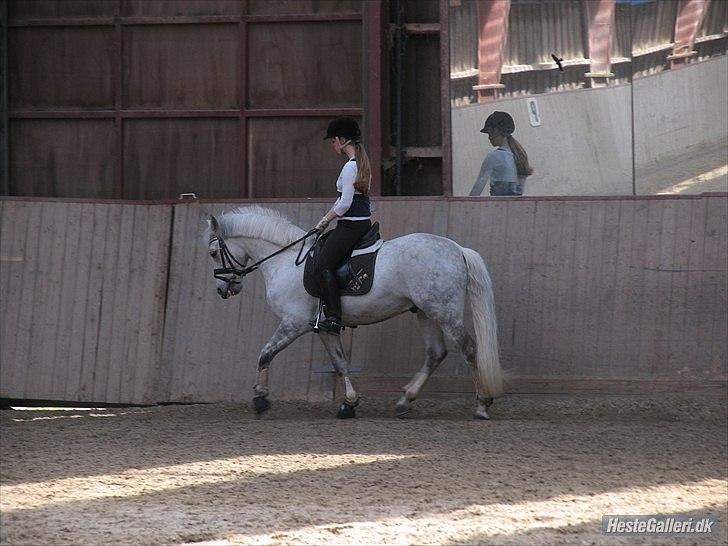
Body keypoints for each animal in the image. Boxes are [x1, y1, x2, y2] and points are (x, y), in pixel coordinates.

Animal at [202, 206, 504, 418]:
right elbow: (340, 363)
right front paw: (349, 403)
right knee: (436, 353)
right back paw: (405, 400)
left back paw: (481, 405)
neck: (285, 261)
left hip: (444, 312)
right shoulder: (324, 328)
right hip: (425, 312)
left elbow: (265, 354)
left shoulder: (293, 323)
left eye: (214, 252)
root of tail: (458, 250)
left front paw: (261, 399)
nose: (223, 289)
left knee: (469, 350)